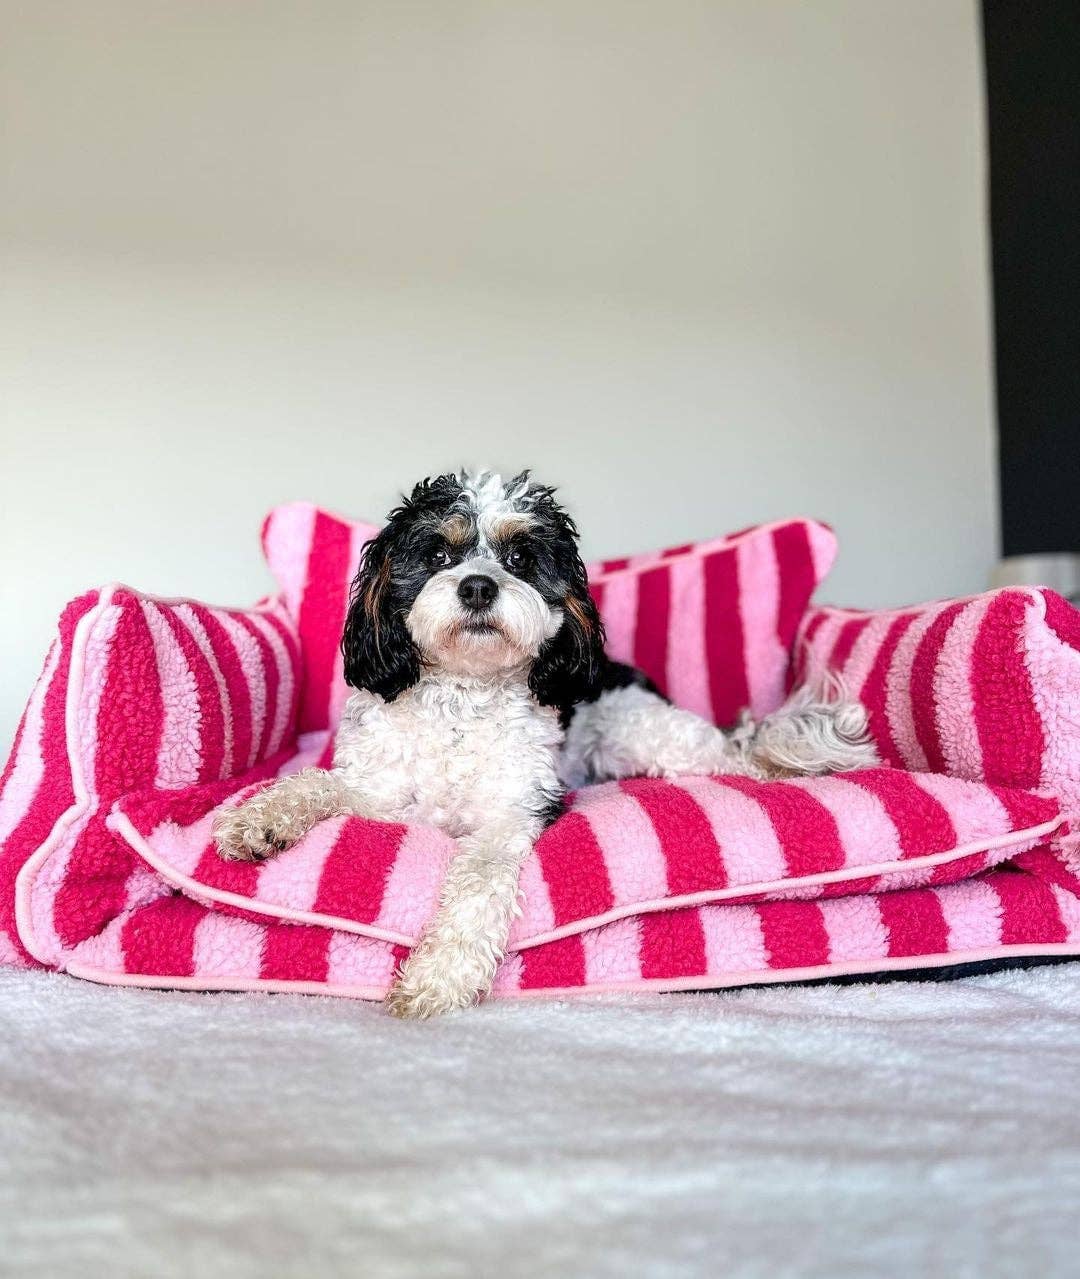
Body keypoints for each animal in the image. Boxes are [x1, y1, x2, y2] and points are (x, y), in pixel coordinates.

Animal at [212, 470, 875, 1018]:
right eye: (439, 553)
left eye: (520, 556)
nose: (478, 586)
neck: (464, 700)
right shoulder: (377, 792)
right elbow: (314, 784)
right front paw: (257, 821)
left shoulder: (513, 815)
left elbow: (478, 886)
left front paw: (439, 977)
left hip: (649, 733)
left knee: (734, 755)